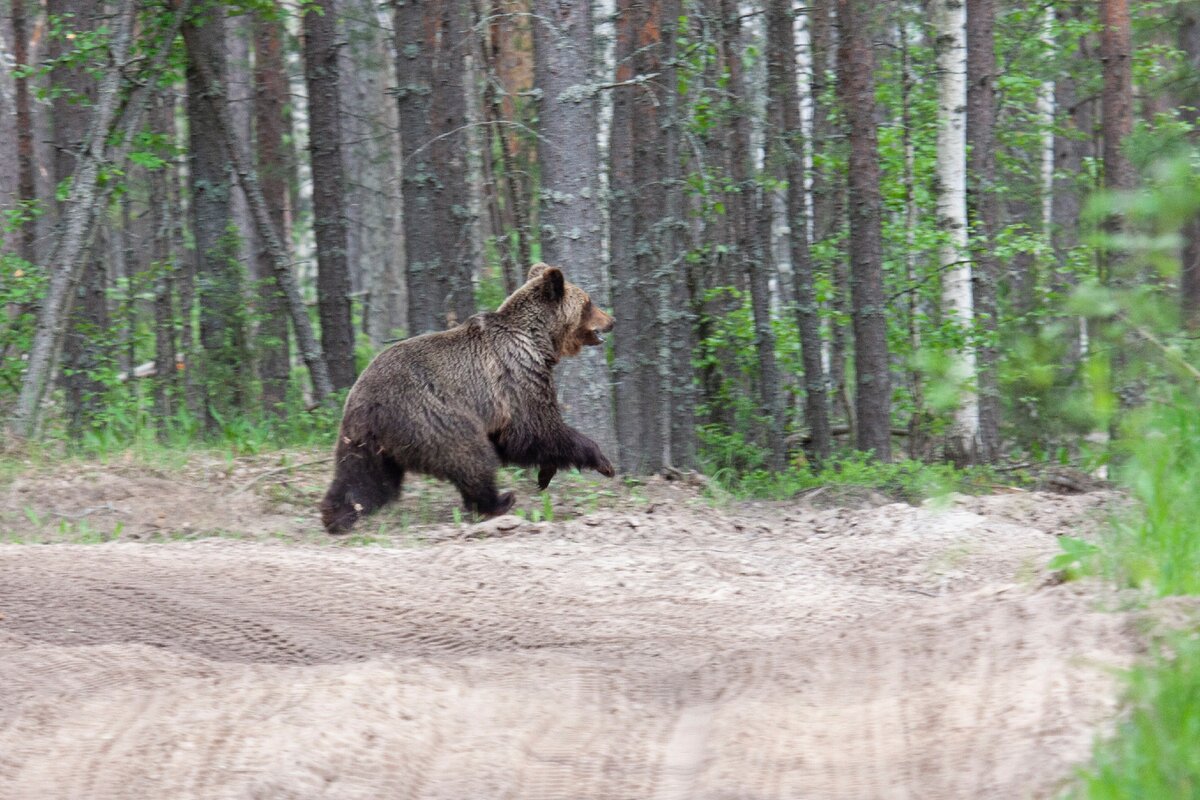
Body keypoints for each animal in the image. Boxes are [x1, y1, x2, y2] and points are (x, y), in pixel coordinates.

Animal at [319, 266, 614, 534]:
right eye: (589, 302)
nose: (611, 320)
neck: (539, 342)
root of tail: (369, 403)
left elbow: (519, 438)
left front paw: (545, 474)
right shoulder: (517, 379)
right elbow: (536, 429)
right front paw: (602, 461)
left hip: (362, 437)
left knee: (363, 476)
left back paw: (338, 515)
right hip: (432, 415)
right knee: (471, 457)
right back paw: (498, 501)